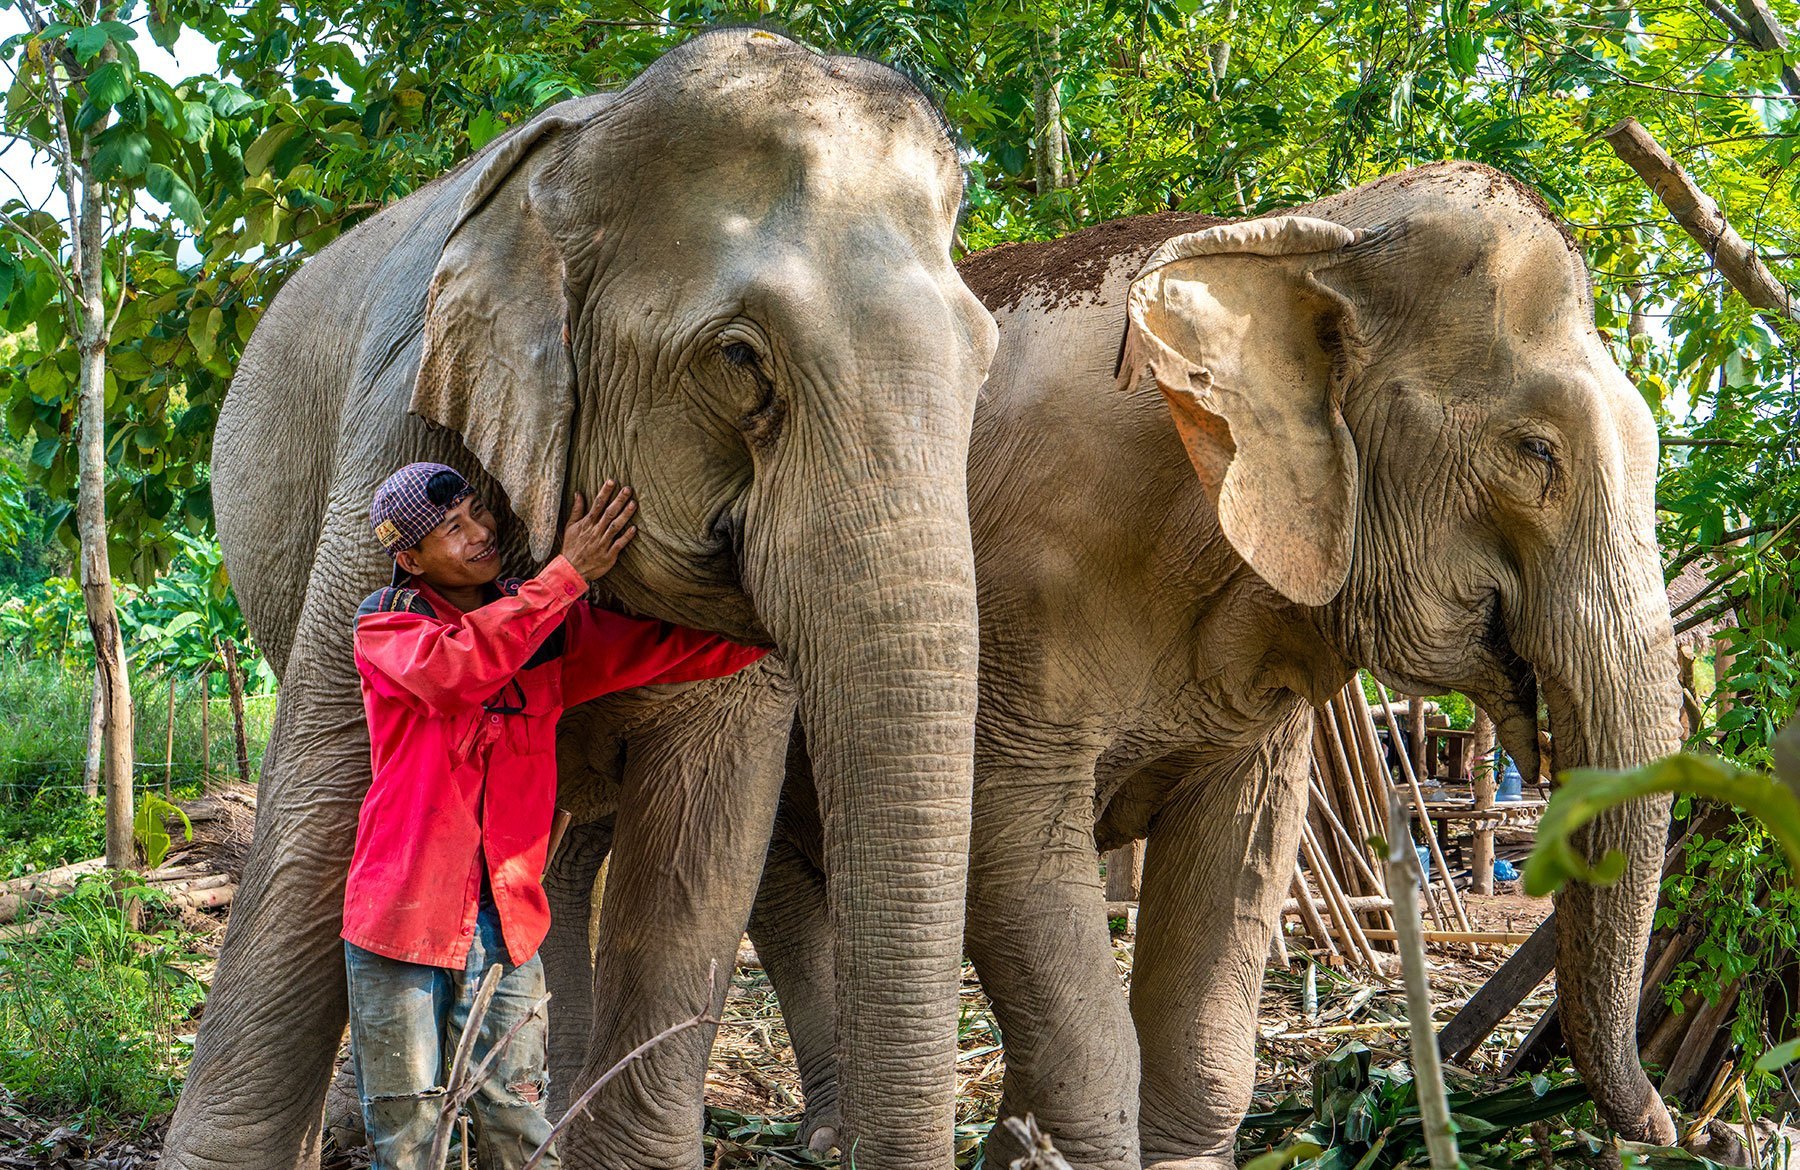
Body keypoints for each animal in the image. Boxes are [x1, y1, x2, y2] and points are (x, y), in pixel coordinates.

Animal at [167, 29, 1000, 1166]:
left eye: (986, 360)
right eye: (740, 358)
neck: (581, 158)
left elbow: (702, 839)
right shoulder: (405, 415)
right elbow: (326, 796)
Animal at [723, 162, 1677, 1166]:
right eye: (1535, 452)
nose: (1675, 1127)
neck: (1305, 235)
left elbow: (1244, 851)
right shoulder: (1017, 602)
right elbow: (1008, 836)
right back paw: (829, 1137)